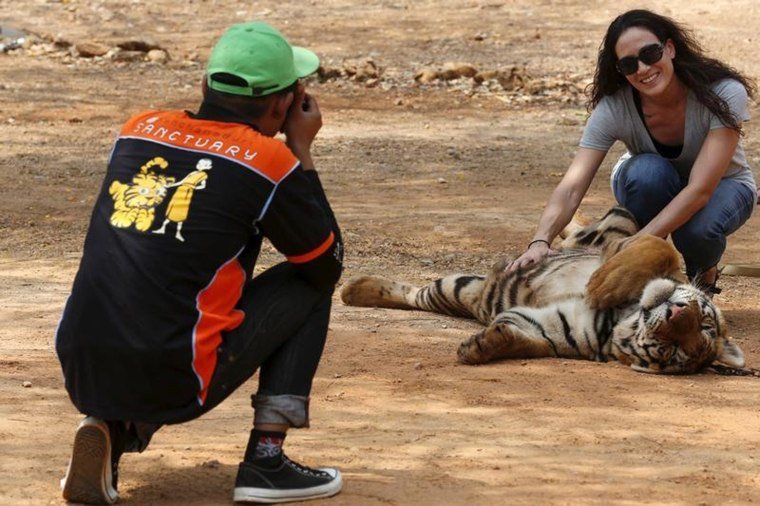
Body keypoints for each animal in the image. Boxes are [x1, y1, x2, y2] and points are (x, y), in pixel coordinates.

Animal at [340, 207, 745, 374]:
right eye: (704, 321)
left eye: (674, 350)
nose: (678, 312)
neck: (624, 316)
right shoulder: (634, 249)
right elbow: (658, 248)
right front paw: (603, 283)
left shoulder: (551, 328)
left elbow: (521, 338)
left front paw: (481, 346)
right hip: (619, 220)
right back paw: (352, 289)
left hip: (461, 289)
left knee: (422, 295)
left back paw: (353, 290)